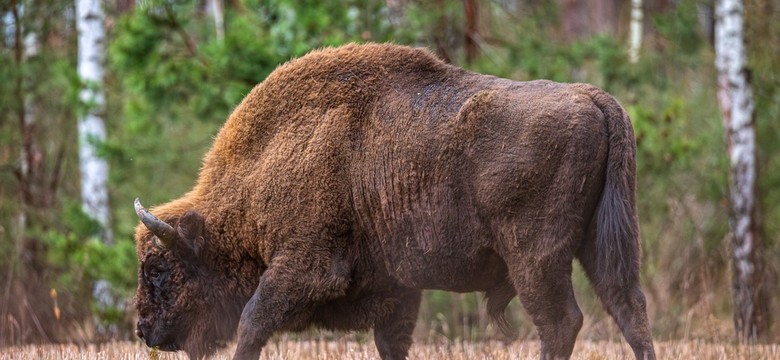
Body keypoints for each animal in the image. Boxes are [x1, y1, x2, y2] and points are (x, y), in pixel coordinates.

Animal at [133, 43, 652, 360]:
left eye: (159, 270)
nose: (142, 329)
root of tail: (594, 99)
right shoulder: (397, 290)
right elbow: (391, 341)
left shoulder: (302, 267)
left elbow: (252, 322)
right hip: (604, 244)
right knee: (629, 309)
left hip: (535, 258)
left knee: (561, 322)